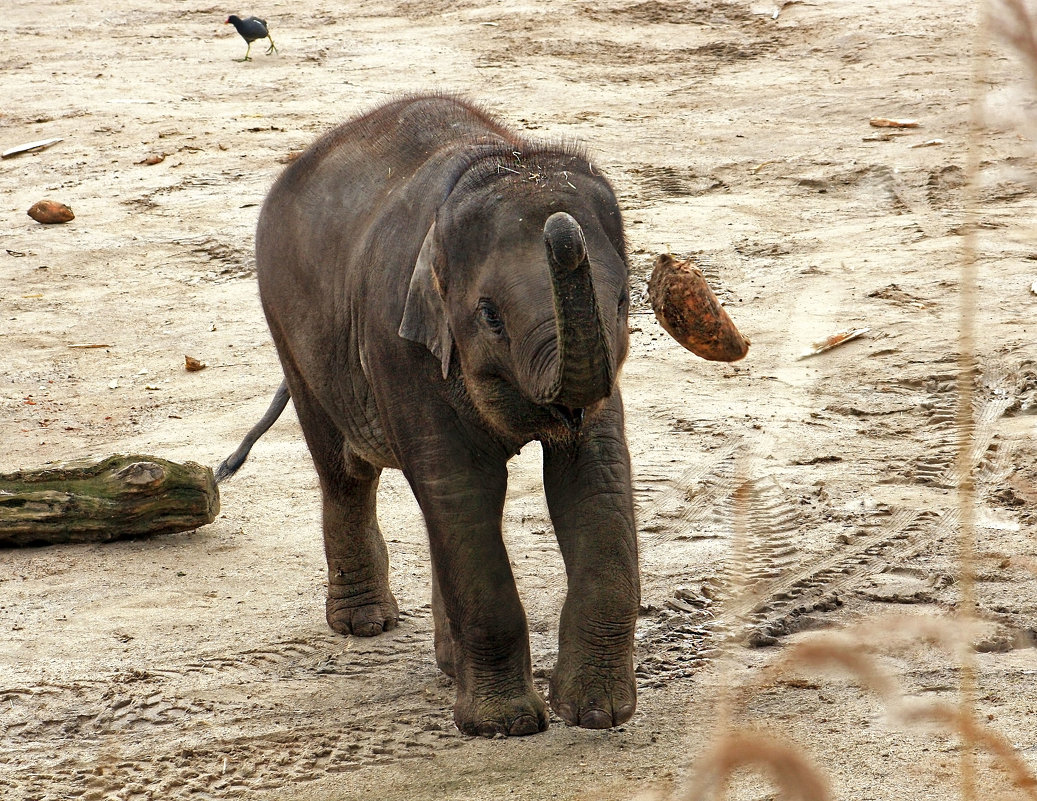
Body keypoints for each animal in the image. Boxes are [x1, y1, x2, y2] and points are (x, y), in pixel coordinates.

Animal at [219, 95, 638, 738]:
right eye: (490, 315)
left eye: (622, 301)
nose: (560, 227)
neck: (495, 163)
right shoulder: (397, 343)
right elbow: (461, 489)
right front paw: (503, 727)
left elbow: (596, 479)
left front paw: (595, 715)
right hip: (290, 331)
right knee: (346, 473)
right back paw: (364, 624)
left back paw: (446, 666)